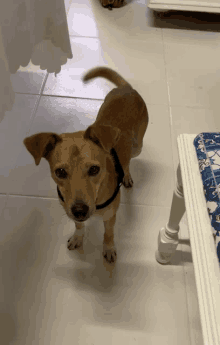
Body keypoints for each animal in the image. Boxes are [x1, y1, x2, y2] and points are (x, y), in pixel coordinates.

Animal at [23, 66, 148, 262]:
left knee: (128, 162)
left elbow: (108, 234)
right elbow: (79, 227)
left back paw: (127, 176)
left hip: (138, 146)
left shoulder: (110, 216)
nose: (80, 210)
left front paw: (108, 248)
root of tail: (127, 88)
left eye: (94, 169)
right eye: (60, 172)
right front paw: (77, 238)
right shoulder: (70, 209)